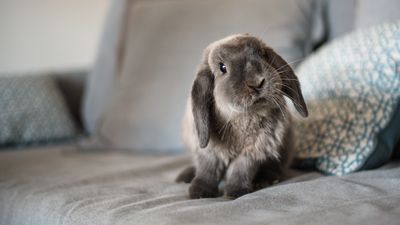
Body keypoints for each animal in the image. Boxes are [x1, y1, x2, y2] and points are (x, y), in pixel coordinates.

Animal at [176, 33, 310, 199]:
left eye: (261, 54)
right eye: (222, 67)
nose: (257, 82)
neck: (242, 118)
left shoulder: (253, 150)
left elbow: (240, 169)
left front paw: (235, 192)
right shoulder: (209, 151)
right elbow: (208, 169)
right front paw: (199, 192)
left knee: (276, 168)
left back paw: (265, 180)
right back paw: (184, 177)